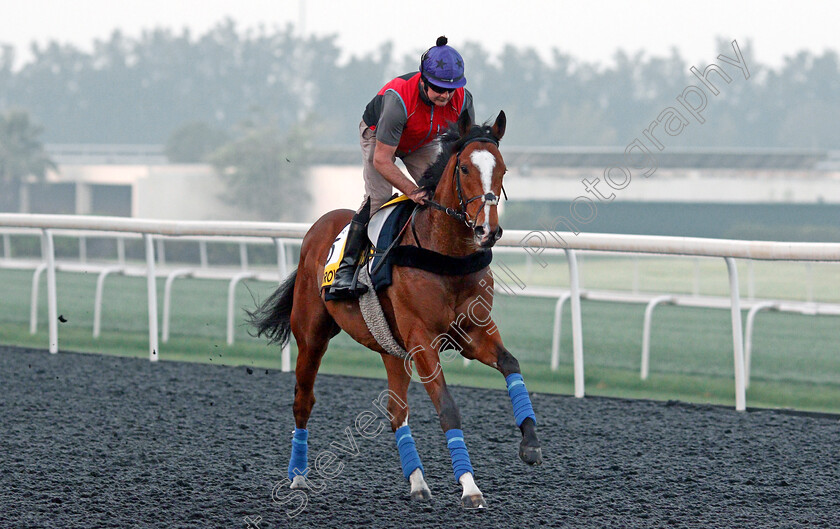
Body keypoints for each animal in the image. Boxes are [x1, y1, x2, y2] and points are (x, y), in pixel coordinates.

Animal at [249, 110, 540, 508]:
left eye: (503, 169)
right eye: (465, 167)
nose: (487, 230)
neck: (445, 256)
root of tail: (317, 228)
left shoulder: (472, 332)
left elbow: (511, 364)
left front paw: (530, 443)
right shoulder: (422, 338)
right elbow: (447, 406)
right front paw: (469, 487)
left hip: (391, 348)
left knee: (395, 412)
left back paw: (417, 482)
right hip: (311, 336)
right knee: (303, 401)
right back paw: (297, 477)